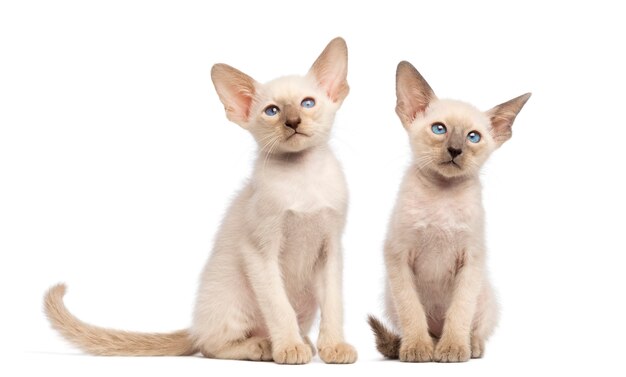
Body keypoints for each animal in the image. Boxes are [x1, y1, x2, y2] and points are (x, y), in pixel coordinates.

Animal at [44, 36, 356, 362]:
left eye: (308, 103)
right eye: (272, 111)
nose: (293, 121)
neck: (303, 179)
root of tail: (195, 324)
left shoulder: (331, 249)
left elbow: (334, 305)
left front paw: (334, 347)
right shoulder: (260, 250)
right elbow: (278, 307)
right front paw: (290, 349)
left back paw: (302, 342)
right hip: (233, 297)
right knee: (211, 344)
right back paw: (264, 346)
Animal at [368, 61, 528, 362]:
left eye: (473, 137)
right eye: (439, 129)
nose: (455, 150)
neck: (442, 196)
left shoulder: (471, 259)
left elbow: (459, 312)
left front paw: (454, 349)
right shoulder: (398, 256)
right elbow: (412, 312)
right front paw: (417, 349)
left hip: (486, 294)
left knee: (474, 328)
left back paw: (469, 346)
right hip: (389, 297)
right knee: (425, 328)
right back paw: (427, 345)